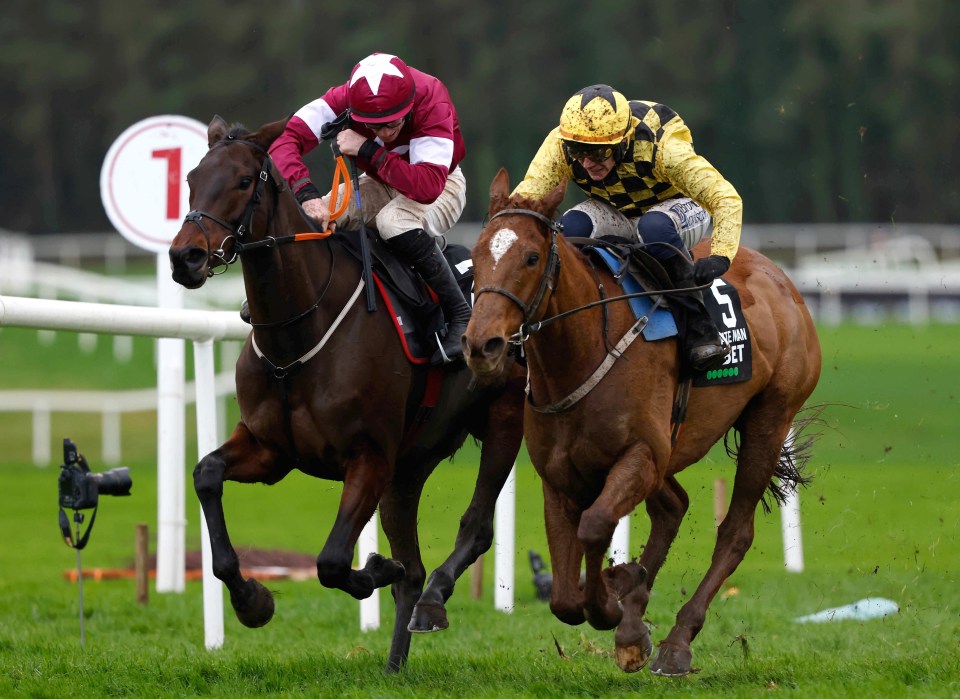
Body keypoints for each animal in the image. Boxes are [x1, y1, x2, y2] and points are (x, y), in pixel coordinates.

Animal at [167, 119, 524, 672]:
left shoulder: (369, 457)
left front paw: (376, 568)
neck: (298, 333)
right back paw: (395, 664)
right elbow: (206, 475)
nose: (186, 256)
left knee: (474, 530)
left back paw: (431, 603)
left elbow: (333, 561)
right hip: (409, 467)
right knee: (414, 570)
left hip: (503, 420)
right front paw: (252, 600)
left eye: (245, 181)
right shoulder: (272, 450)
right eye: (192, 177)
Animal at [462, 170, 820, 680]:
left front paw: (614, 597)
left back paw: (676, 641)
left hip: (769, 420)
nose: (482, 345)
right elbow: (564, 598)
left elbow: (595, 526)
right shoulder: (560, 475)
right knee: (674, 506)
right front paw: (622, 602)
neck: (584, 350)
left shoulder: (641, 455)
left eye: (531, 257)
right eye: (475, 256)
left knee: (734, 532)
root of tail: (782, 281)